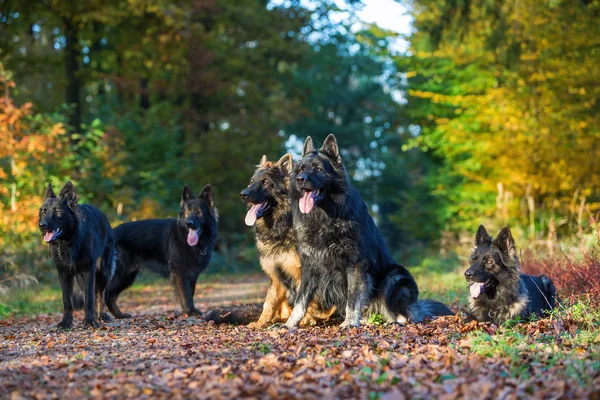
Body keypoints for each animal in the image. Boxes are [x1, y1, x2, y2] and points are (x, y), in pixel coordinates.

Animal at [37, 181, 116, 328]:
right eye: (43, 212)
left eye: (57, 211)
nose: (41, 225)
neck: (69, 242)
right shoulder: (64, 274)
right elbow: (67, 300)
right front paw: (66, 321)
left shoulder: (88, 271)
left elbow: (90, 298)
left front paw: (90, 321)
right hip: (81, 278)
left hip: (103, 273)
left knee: (100, 295)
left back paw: (101, 315)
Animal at [105, 185, 218, 318]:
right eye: (187, 212)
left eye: (199, 212)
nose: (188, 223)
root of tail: (111, 233)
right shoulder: (180, 272)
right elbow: (186, 294)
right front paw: (190, 310)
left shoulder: (193, 274)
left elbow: (191, 292)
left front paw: (186, 311)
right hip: (120, 274)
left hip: (127, 276)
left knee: (110, 296)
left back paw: (119, 315)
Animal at [239, 155, 336, 326]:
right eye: (251, 182)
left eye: (265, 183)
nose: (243, 194)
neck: (281, 227)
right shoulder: (275, 275)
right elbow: (269, 302)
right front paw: (260, 323)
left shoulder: (304, 271)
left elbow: (305, 299)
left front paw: (305, 320)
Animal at [284, 135, 452, 328]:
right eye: (300, 169)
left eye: (318, 169)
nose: (300, 179)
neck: (325, 218)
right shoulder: (309, 266)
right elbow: (300, 300)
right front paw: (290, 323)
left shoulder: (355, 264)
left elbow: (352, 298)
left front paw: (349, 323)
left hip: (394, 277)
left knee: (407, 313)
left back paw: (398, 322)